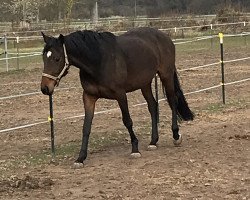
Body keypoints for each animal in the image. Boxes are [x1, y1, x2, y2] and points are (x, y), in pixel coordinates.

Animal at [40, 27, 193, 167]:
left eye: (57, 58)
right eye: (43, 58)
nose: (45, 88)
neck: (98, 60)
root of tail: (165, 36)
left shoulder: (120, 94)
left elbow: (127, 121)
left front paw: (135, 149)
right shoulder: (89, 97)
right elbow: (86, 127)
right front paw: (80, 158)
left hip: (166, 75)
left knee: (173, 101)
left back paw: (175, 135)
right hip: (145, 83)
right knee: (153, 105)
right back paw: (153, 141)